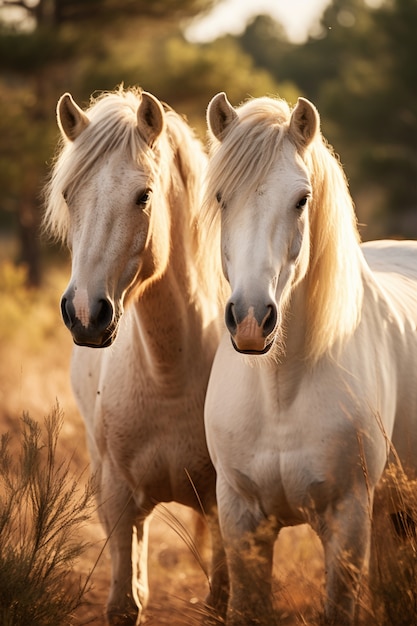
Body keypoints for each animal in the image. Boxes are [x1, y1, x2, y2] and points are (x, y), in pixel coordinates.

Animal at [42, 86, 228, 624]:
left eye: (143, 196)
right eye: (69, 194)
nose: (86, 313)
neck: (169, 375)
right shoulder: (120, 502)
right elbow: (126, 603)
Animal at [203, 91, 416, 624]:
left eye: (301, 199)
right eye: (220, 197)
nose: (251, 319)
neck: (281, 389)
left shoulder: (347, 521)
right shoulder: (241, 520)